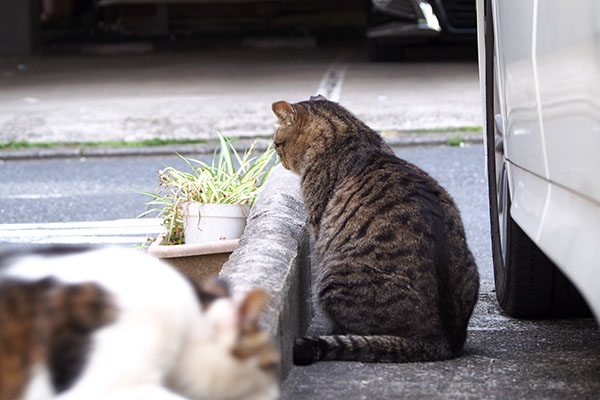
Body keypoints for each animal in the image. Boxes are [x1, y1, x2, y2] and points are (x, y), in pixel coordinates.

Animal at [274, 96, 480, 366]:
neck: (352, 133)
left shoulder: (319, 225)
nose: (281, 162)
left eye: (276, 145)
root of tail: (441, 339)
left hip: (333, 276)